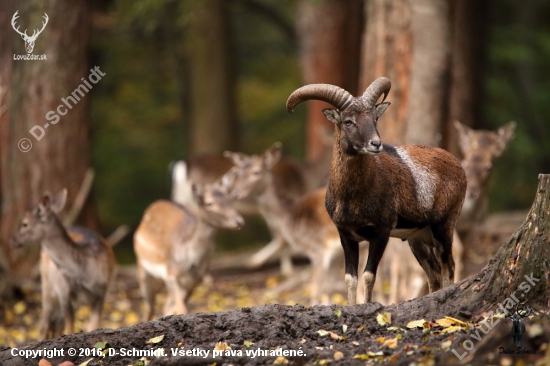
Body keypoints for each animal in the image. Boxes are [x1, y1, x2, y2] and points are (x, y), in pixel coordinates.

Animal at [9, 190, 116, 338]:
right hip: (47, 286)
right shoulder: (64, 292)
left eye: (24, 224)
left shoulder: (102, 290)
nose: (12, 240)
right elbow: (70, 328)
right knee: (45, 324)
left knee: (55, 325)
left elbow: (92, 326)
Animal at [134, 176, 244, 318]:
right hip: (142, 268)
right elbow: (181, 309)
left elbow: (178, 308)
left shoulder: (195, 281)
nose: (239, 221)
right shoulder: (171, 274)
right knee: (149, 307)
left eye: (229, 199)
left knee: (165, 306)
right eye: (209, 203)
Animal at [224, 143, 340, 306]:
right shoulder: (332, 255)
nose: (235, 193)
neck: (290, 215)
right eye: (238, 173)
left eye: (256, 172)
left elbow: (316, 289)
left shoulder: (319, 251)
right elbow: (327, 291)